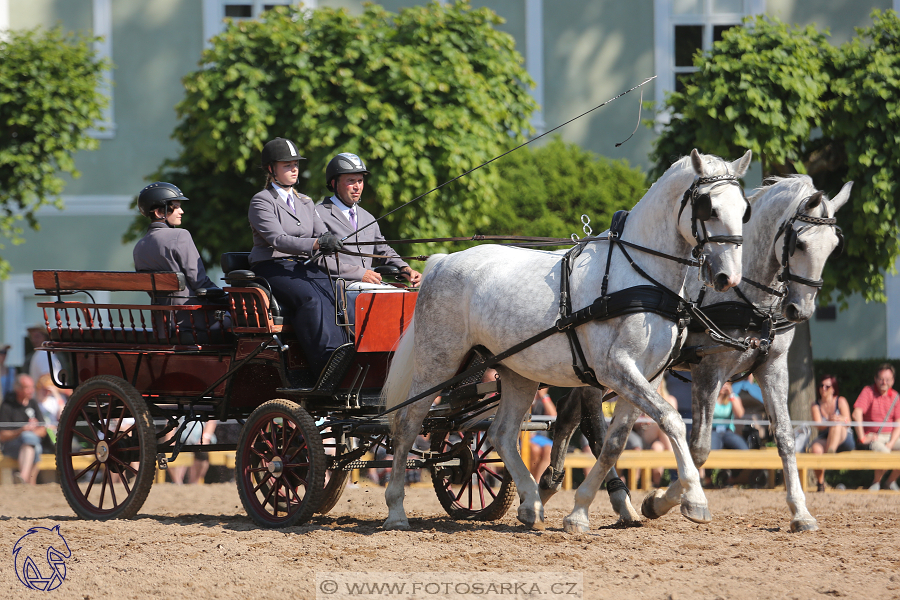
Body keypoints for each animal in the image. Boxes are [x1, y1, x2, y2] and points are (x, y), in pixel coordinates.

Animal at [380, 149, 752, 528]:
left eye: (744, 210)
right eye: (708, 207)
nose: (728, 277)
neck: (639, 275)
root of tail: (442, 261)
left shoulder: (647, 376)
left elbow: (615, 442)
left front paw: (583, 511)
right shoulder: (616, 369)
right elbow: (671, 419)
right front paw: (694, 500)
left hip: (517, 371)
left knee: (501, 433)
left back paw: (531, 504)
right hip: (438, 362)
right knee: (408, 423)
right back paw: (396, 510)